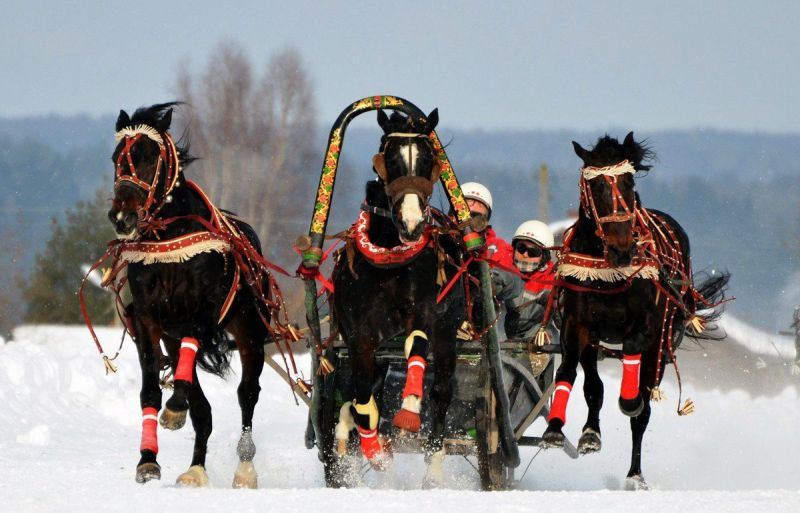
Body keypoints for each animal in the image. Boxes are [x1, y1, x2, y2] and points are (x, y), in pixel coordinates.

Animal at [103, 102, 294, 486]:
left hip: (250, 330)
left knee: (247, 394)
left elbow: (191, 360)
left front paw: (175, 406)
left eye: (149, 156)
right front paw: (148, 460)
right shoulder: (149, 321)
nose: (121, 216)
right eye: (116, 157)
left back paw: (245, 468)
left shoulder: (204, 311)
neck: (170, 247)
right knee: (201, 407)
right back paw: (195, 468)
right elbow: (152, 391)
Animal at [332, 108, 468, 484]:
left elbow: (416, 346)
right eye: (389, 159)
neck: (389, 261)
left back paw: (433, 466)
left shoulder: (422, 310)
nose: (411, 223)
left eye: (428, 160)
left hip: (448, 334)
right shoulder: (359, 333)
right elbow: (363, 394)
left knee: (442, 392)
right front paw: (375, 449)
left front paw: (408, 410)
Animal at [540, 131, 728, 488]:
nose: (623, 249)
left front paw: (630, 401)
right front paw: (557, 429)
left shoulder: (648, 326)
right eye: (597, 186)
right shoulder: (578, 324)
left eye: (628, 183)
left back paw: (635, 473)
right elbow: (572, 373)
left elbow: (633, 363)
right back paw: (591, 432)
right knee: (594, 386)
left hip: (664, 343)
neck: (608, 273)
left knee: (643, 407)